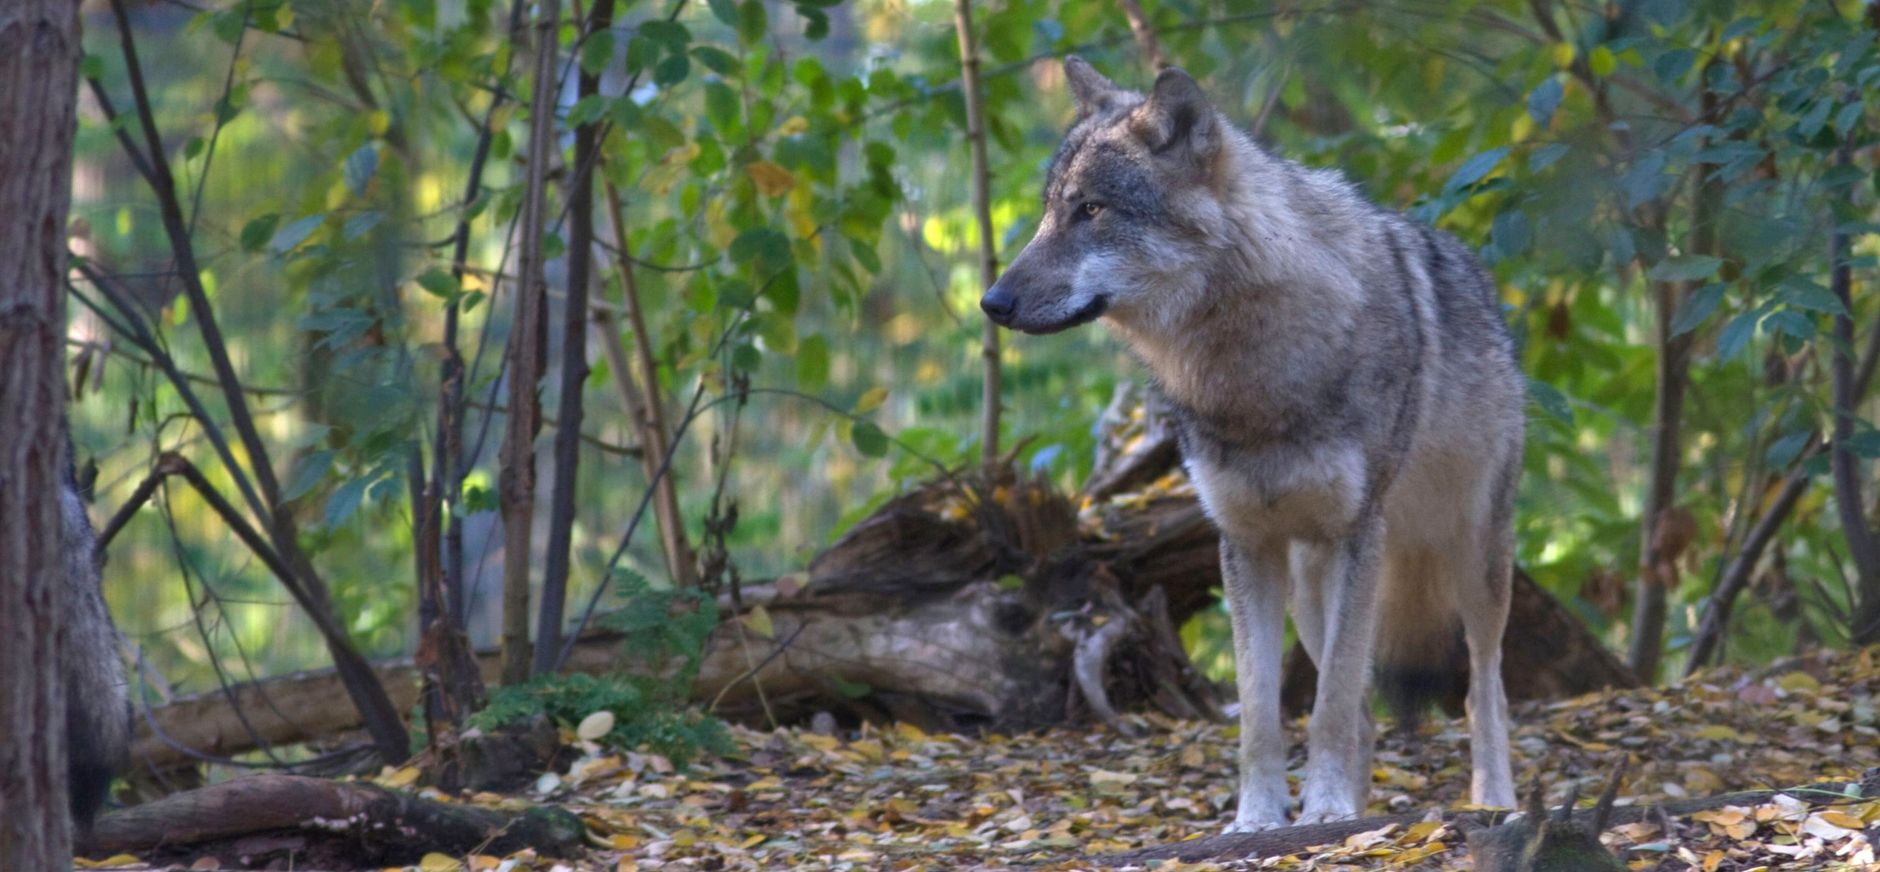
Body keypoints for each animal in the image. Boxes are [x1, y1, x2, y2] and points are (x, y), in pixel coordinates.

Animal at [981, 58, 1523, 828]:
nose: (991, 302)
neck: (1249, 372)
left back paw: (1492, 800)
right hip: (1310, 585)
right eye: (1050, 210)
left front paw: (1324, 812)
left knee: (1482, 686)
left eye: (1092, 211)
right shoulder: (1245, 545)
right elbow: (1265, 714)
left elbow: (1328, 709)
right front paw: (1263, 817)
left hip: (1471, 560)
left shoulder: (1357, 534)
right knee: (1360, 704)